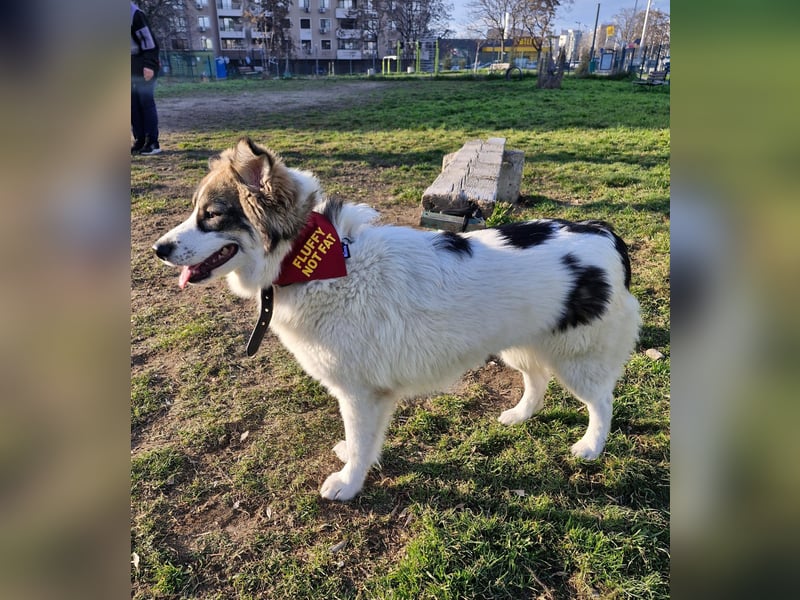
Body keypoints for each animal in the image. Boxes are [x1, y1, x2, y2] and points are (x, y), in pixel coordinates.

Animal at [153, 137, 641, 501]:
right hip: (522, 342)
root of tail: (604, 233)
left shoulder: (361, 393)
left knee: (601, 402)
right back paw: (521, 415)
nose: (159, 249)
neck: (312, 263)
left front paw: (349, 482)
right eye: (196, 210)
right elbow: (361, 440)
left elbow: (361, 441)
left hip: (578, 357)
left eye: (212, 216)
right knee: (536, 378)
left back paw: (591, 446)